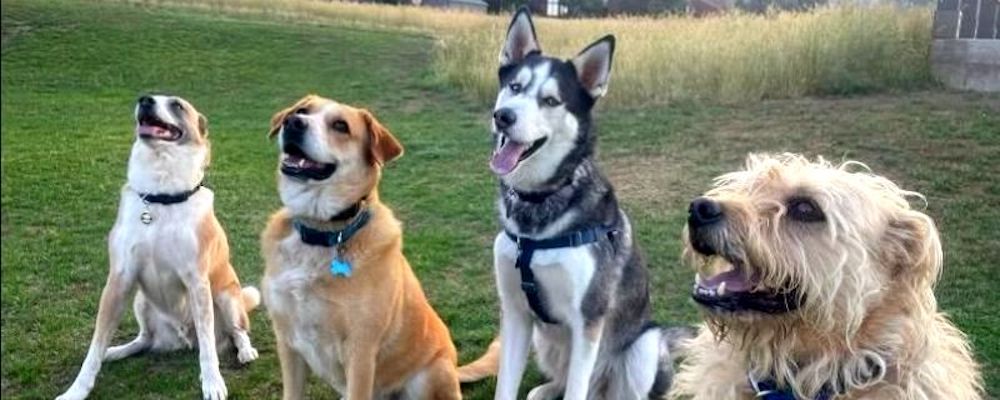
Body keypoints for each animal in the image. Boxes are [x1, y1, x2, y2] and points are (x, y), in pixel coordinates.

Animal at [56, 94, 260, 400]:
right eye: (147, 97)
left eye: (177, 104)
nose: (145, 100)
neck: (162, 196)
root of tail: (183, 338)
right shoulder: (119, 279)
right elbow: (95, 348)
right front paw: (77, 390)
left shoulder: (197, 281)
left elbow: (208, 349)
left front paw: (213, 383)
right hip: (141, 300)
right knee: (145, 339)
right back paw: (117, 351)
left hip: (227, 295)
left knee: (236, 331)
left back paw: (245, 351)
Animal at [258, 95, 460, 398]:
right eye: (302, 110)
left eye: (340, 125)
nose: (293, 123)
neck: (321, 230)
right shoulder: (287, 340)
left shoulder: (361, 352)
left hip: (430, 376)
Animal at [460, 7, 688, 400]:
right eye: (515, 87)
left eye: (551, 100)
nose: (503, 116)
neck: (539, 202)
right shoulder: (516, 314)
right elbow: (506, 385)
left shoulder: (588, 321)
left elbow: (576, 387)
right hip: (543, 340)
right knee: (563, 381)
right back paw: (543, 390)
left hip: (644, 346)